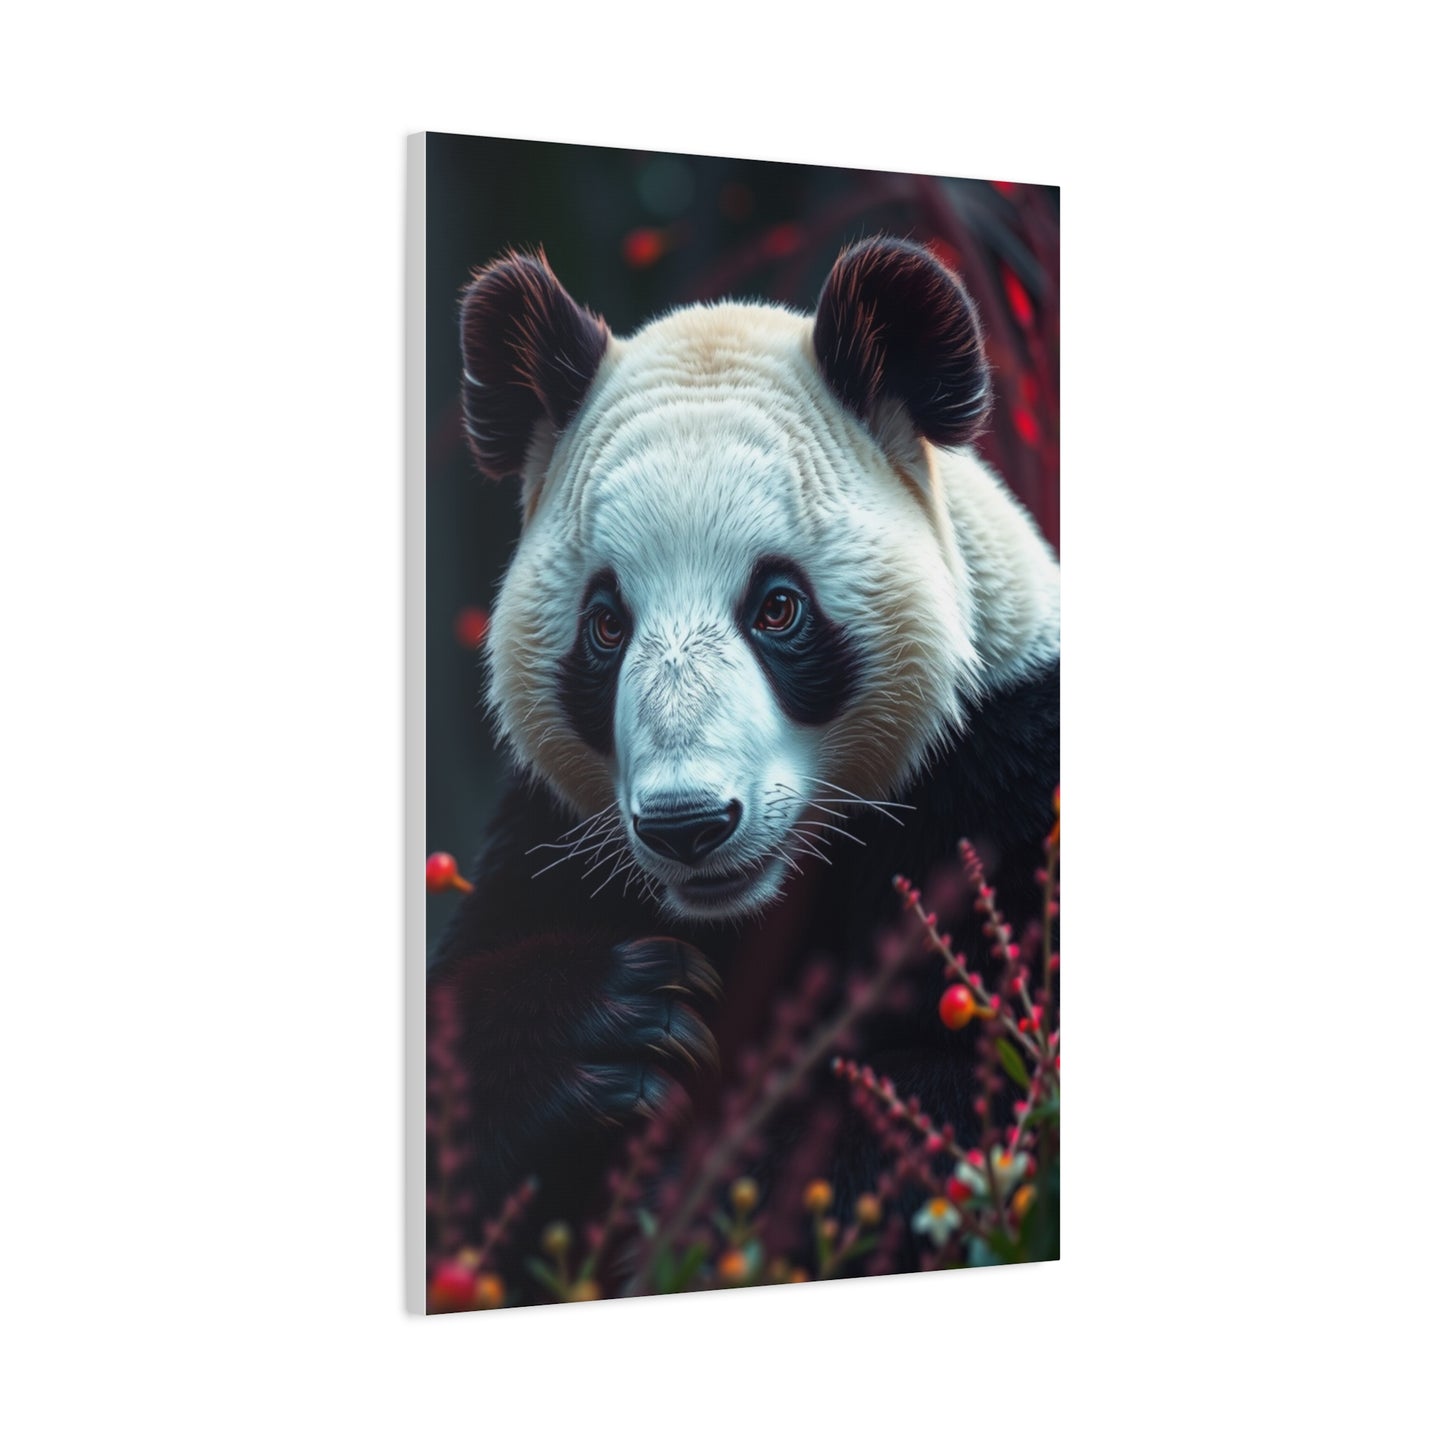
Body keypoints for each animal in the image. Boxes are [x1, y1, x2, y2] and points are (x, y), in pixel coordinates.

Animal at [428, 236, 1059, 1276]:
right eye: (606, 625)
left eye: (777, 606)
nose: (687, 823)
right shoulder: (548, 843)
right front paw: (626, 1029)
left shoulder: (1005, 774)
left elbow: (960, 1089)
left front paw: (714, 1192)